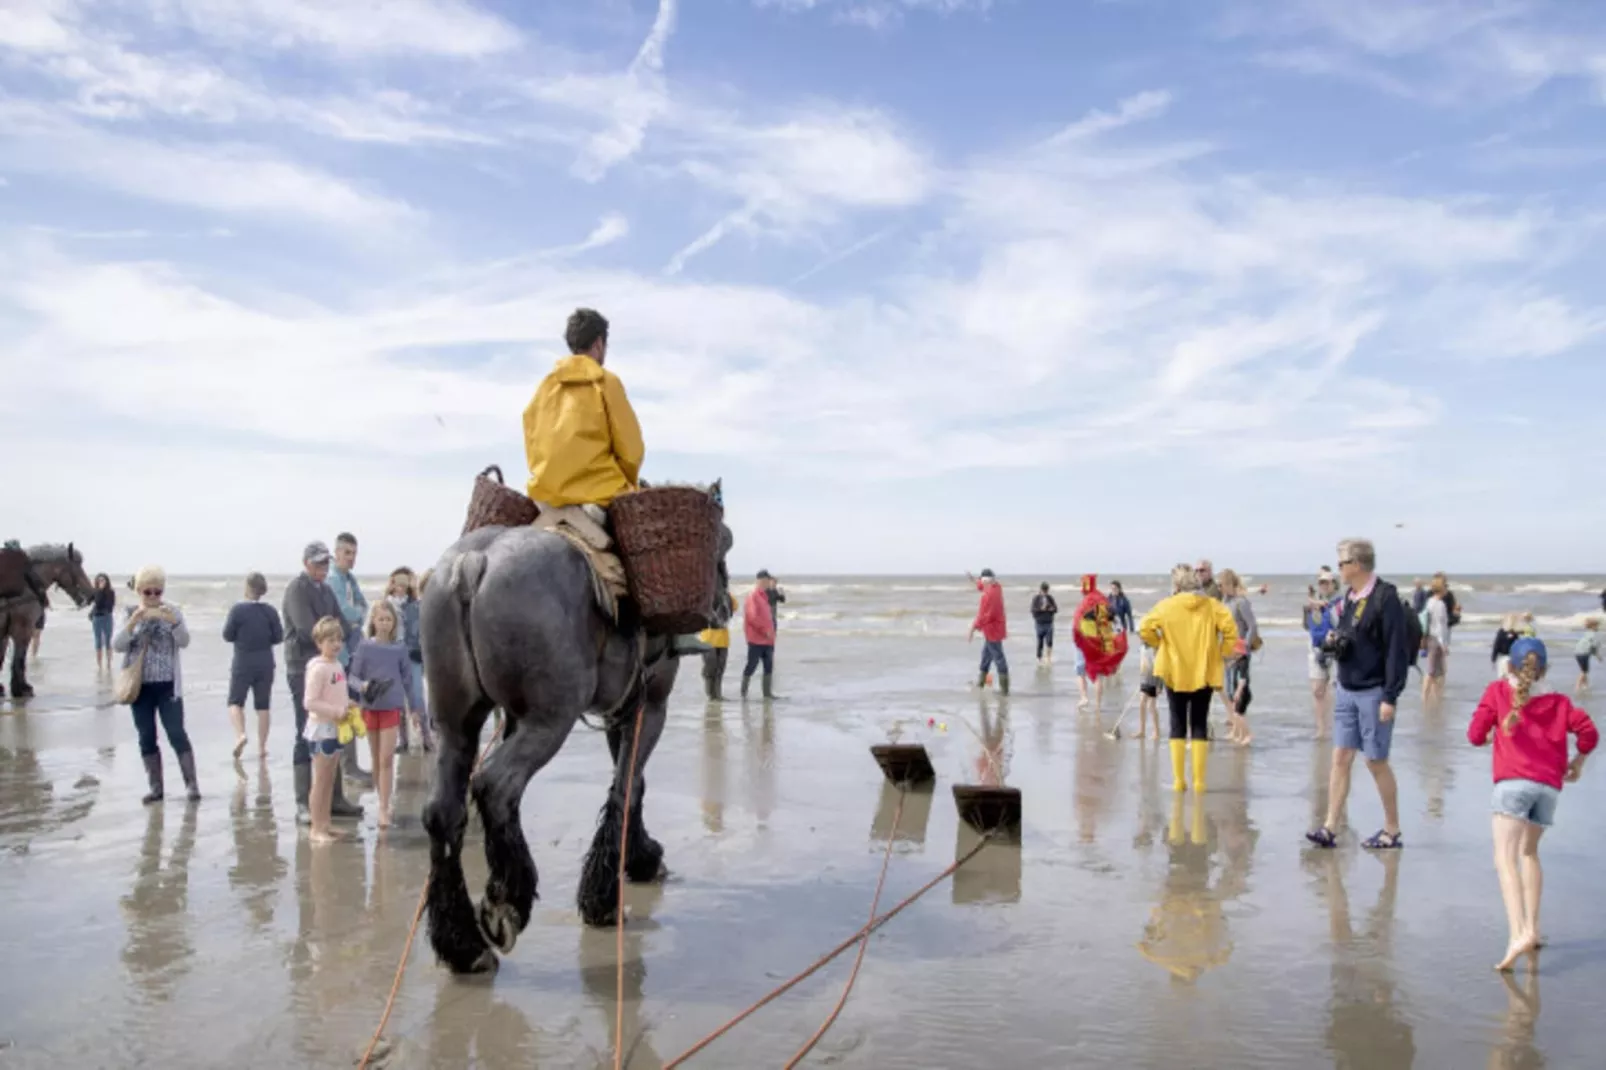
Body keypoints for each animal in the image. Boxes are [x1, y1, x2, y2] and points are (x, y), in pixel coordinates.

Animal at [0, 543, 93, 700]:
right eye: (77, 567)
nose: (92, 594)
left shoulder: (5, 634)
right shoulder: (23, 631)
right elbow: (19, 660)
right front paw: (21, 689)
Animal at [420, 504, 735, 970]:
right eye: (722, 546)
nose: (726, 605)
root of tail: (475, 563)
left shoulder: (614, 712)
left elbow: (631, 783)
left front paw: (636, 857)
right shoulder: (650, 707)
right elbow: (627, 786)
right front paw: (606, 894)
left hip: (455, 725)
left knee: (444, 811)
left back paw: (463, 944)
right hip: (550, 721)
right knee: (496, 786)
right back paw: (508, 900)